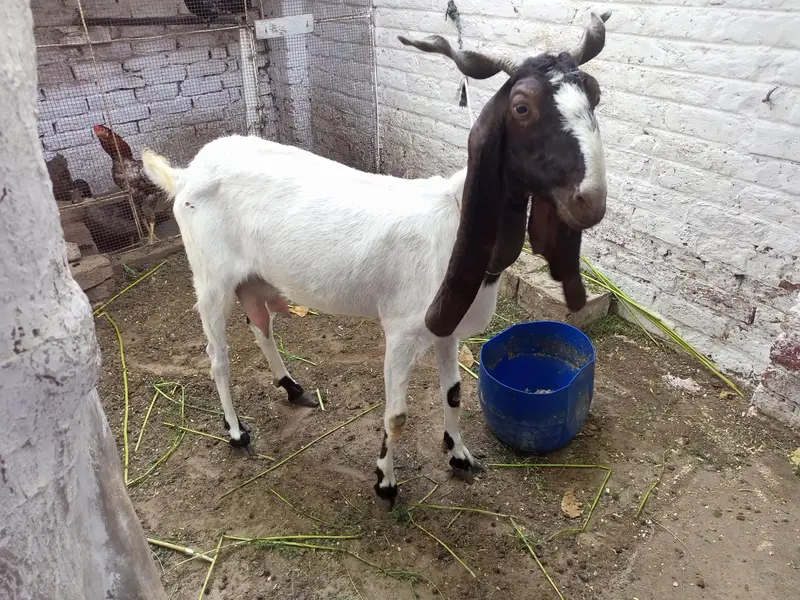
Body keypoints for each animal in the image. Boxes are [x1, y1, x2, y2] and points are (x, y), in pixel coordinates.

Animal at [141, 12, 611, 505]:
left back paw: (292, 387)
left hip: (255, 277)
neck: (452, 219)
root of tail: (186, 173)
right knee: (218, 355)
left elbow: (454, 393)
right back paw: (236, 433)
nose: (590, 202)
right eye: (522, 108)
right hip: (210, 277)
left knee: (261, 327)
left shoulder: (447, 329)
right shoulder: (401, 332)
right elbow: (397, 416)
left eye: (595, 94)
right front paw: (385, 482)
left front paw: (460, 456)